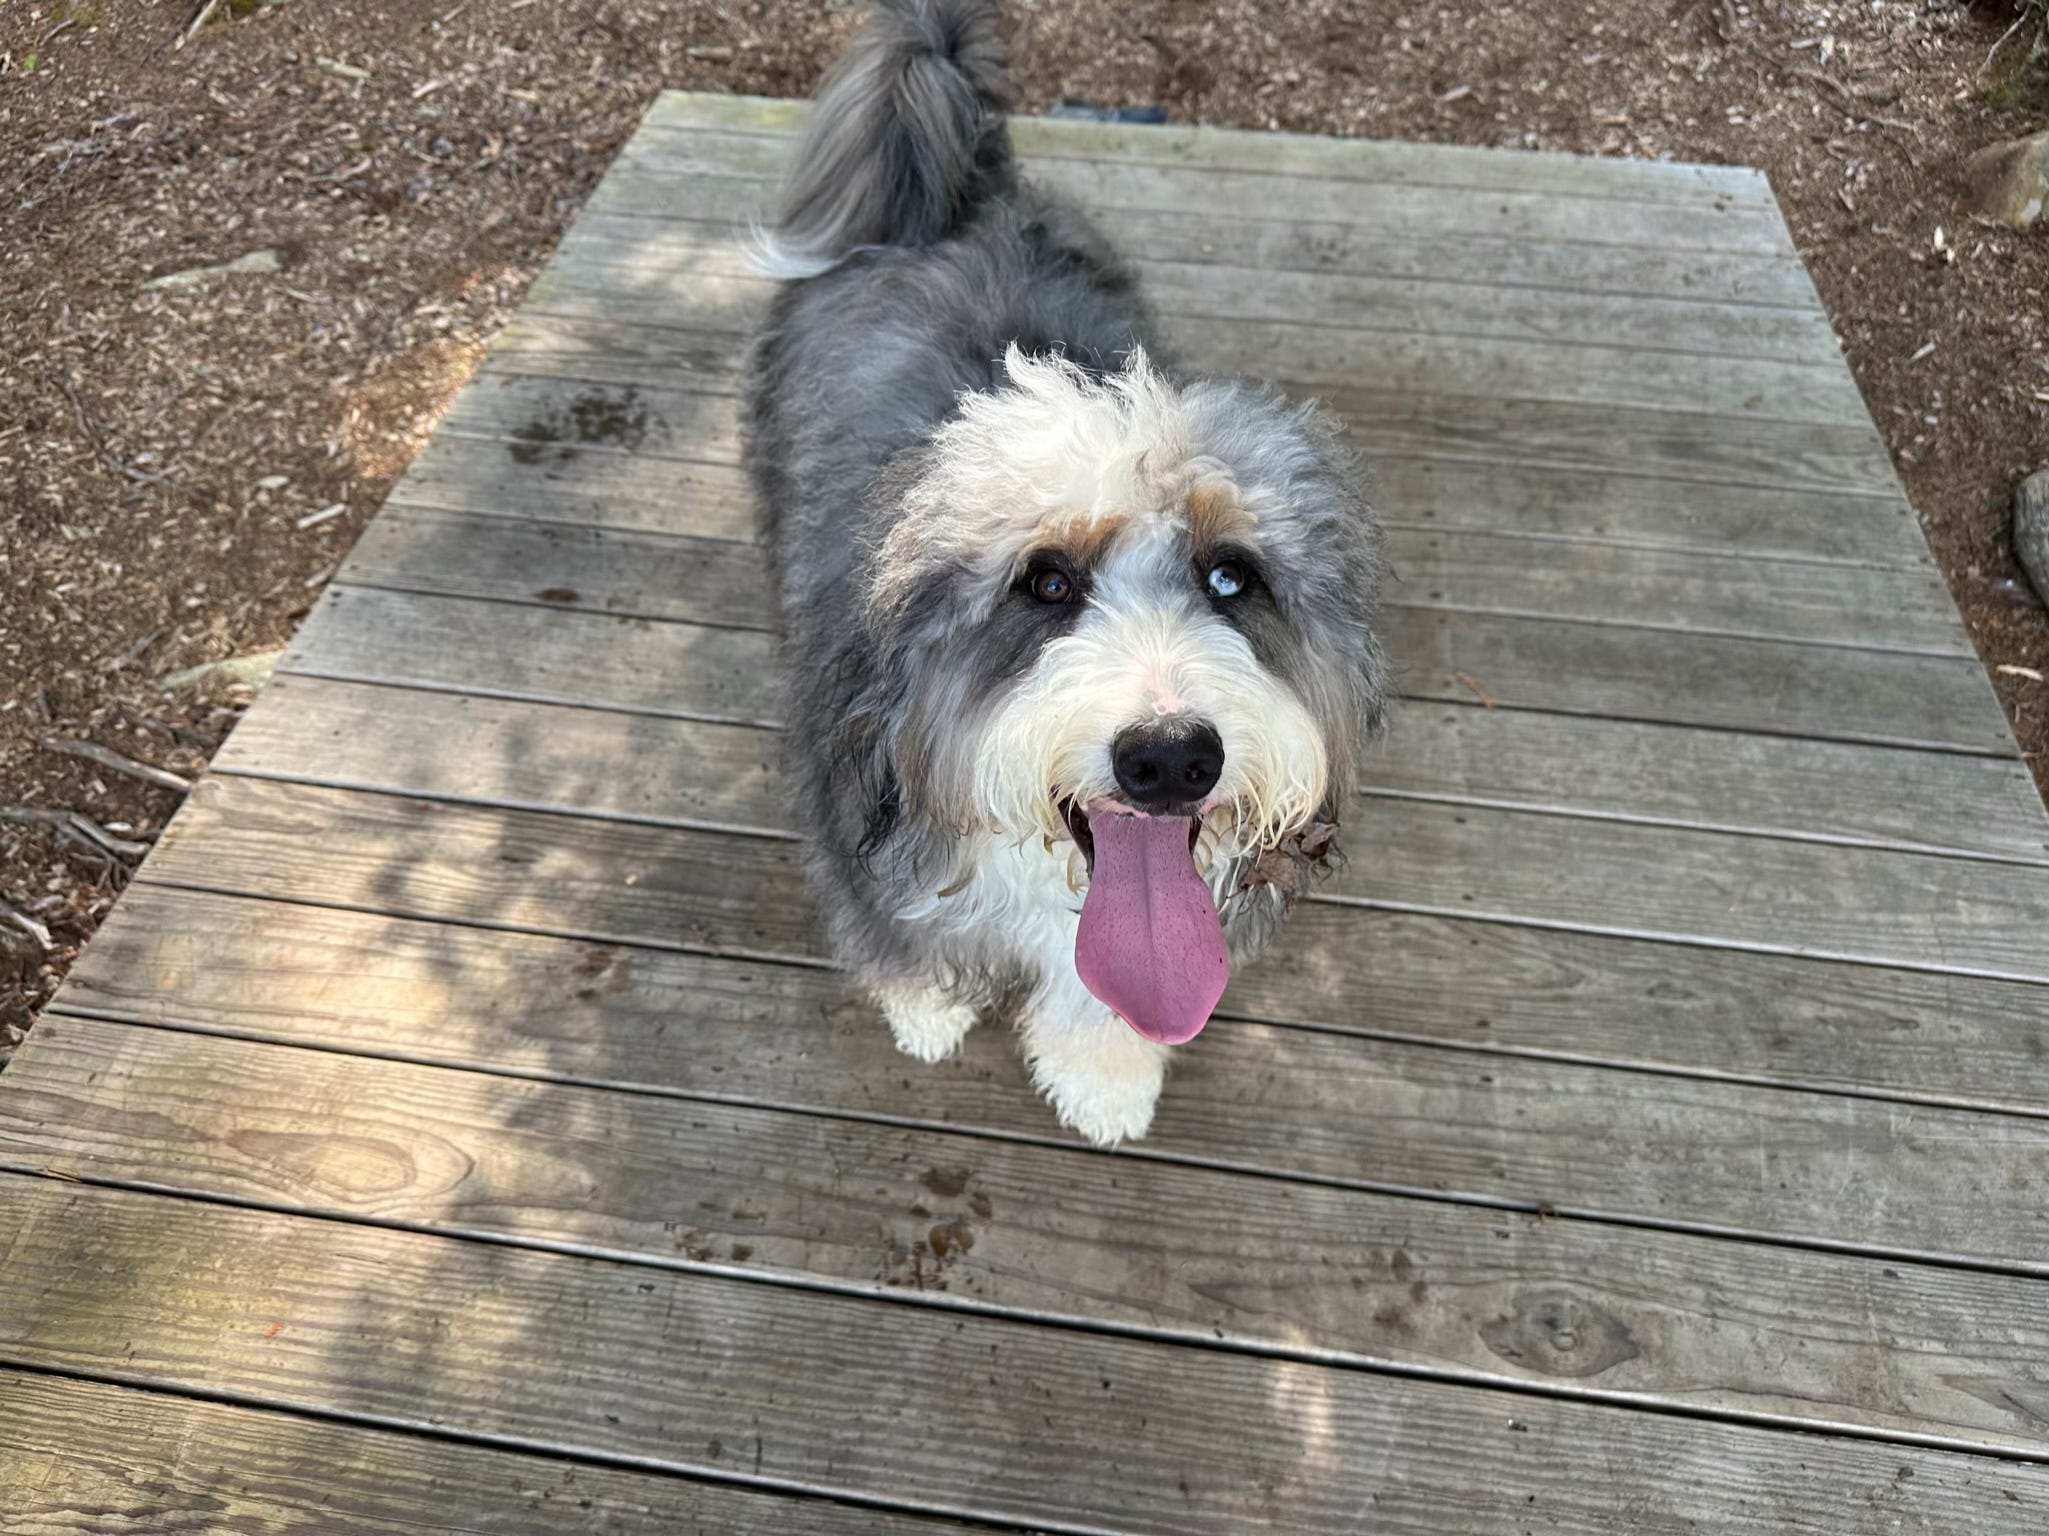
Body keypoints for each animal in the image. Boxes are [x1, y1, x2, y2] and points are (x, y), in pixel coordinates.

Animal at [743, 0, 1389, 1146]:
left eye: (1231, 578)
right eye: (1044, 585)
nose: (1170, 759)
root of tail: (959, 190)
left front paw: (1106, 1080)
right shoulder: (857, 816)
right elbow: (900, 936)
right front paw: (927, 1011)